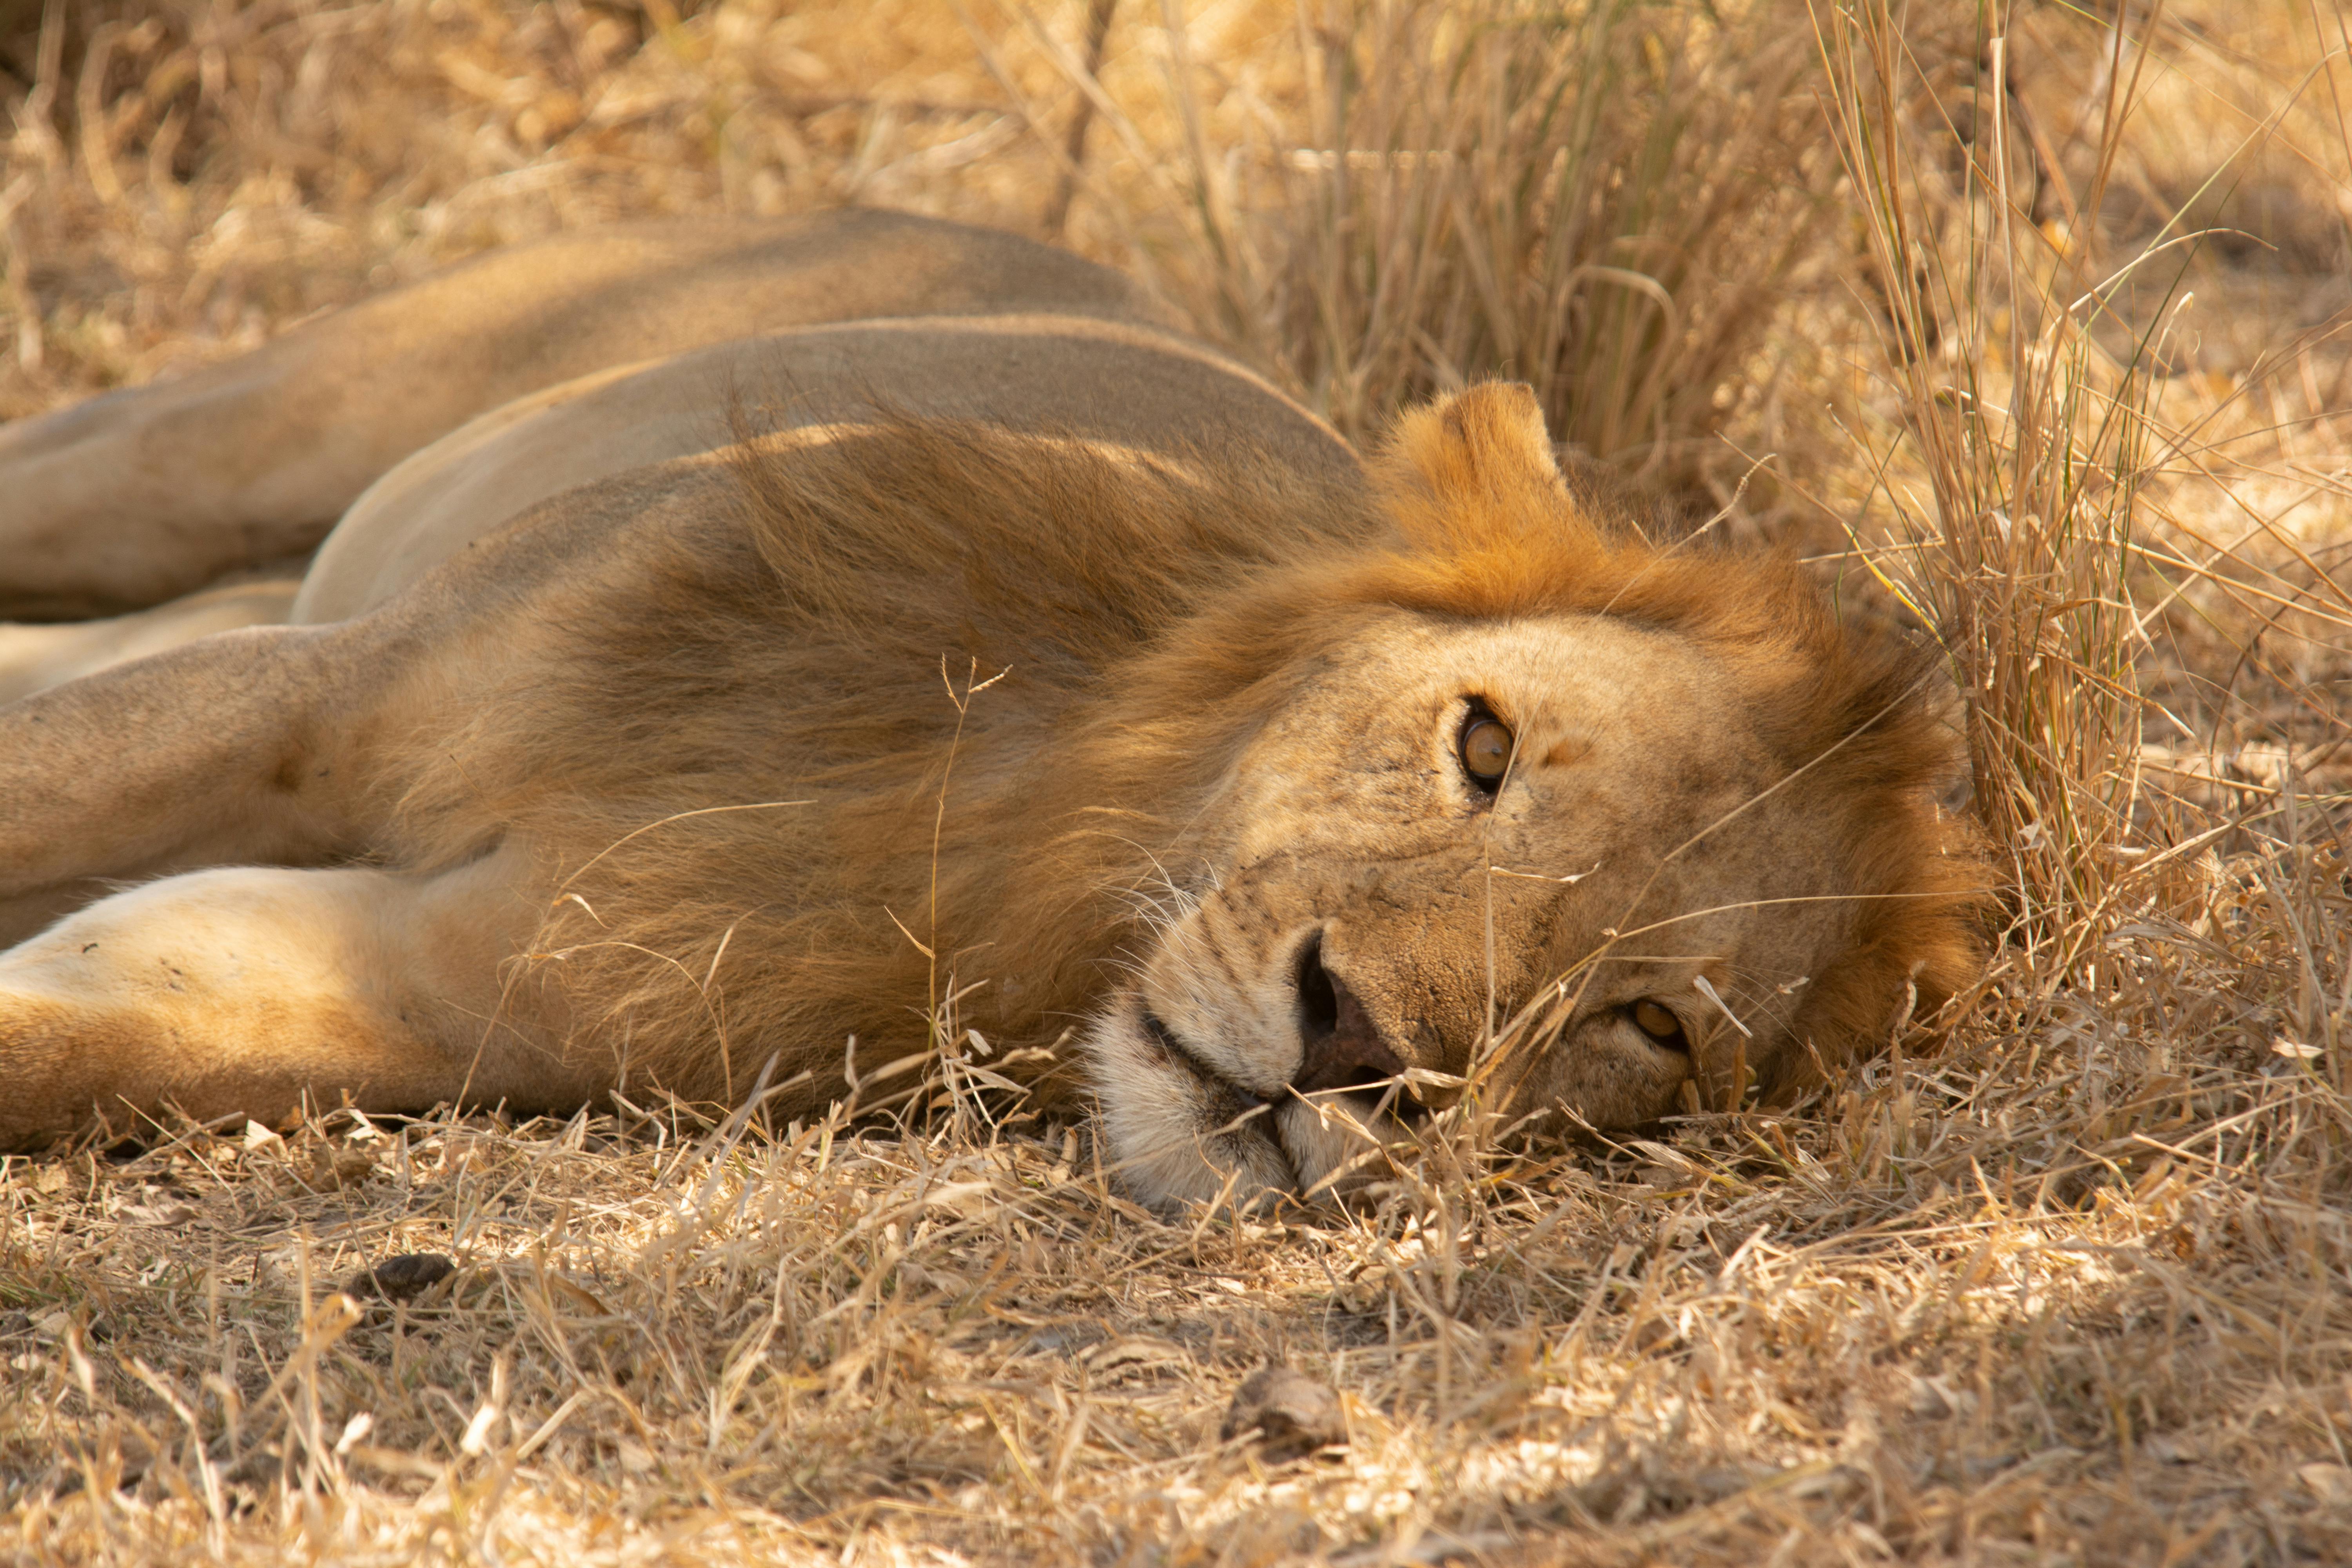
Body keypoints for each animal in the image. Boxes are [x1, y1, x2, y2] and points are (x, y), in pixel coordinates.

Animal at [0, 209, 1985, 1205]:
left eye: (1648, 1025)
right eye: (1481, 744)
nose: (1353, 1050)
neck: (1005, 842)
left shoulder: (447, 985)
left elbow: (80, 1036)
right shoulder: (334, 696)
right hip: (229, 443)